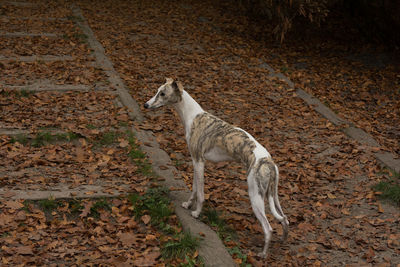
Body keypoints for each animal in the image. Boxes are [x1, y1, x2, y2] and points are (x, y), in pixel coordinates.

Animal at [145, 78, 290, 258]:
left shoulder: (199, 162)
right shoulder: (195, 162)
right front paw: (188, 204)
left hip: (255, 195)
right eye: (157, 91)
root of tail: (268, 161)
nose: (146, 105)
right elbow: (194, 189)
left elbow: (200, 194)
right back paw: (282, 240)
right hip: (274, 196)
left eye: (163, 94)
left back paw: (262, 254)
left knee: (268, 228)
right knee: (285, 219)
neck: (193, 115)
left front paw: (196, 213)